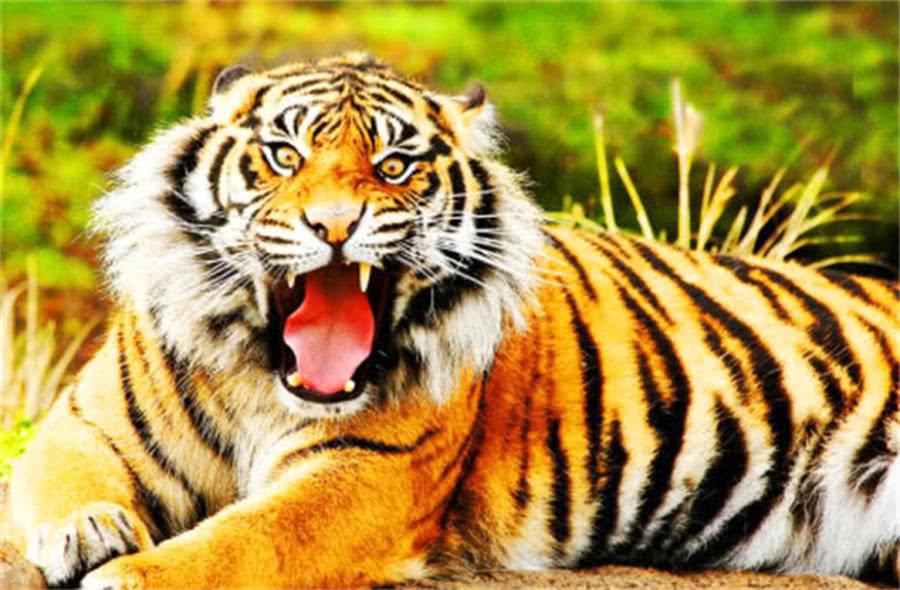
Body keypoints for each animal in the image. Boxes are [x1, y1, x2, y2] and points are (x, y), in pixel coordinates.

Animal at [5, 53, 898, 589]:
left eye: (395, 166)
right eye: (286, 157)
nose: (336, 225)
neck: (264, 379)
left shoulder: (364, 473)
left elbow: (244, 539)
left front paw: (129, 575)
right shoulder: (84, 420)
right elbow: (66, 478)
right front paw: (88, 531)